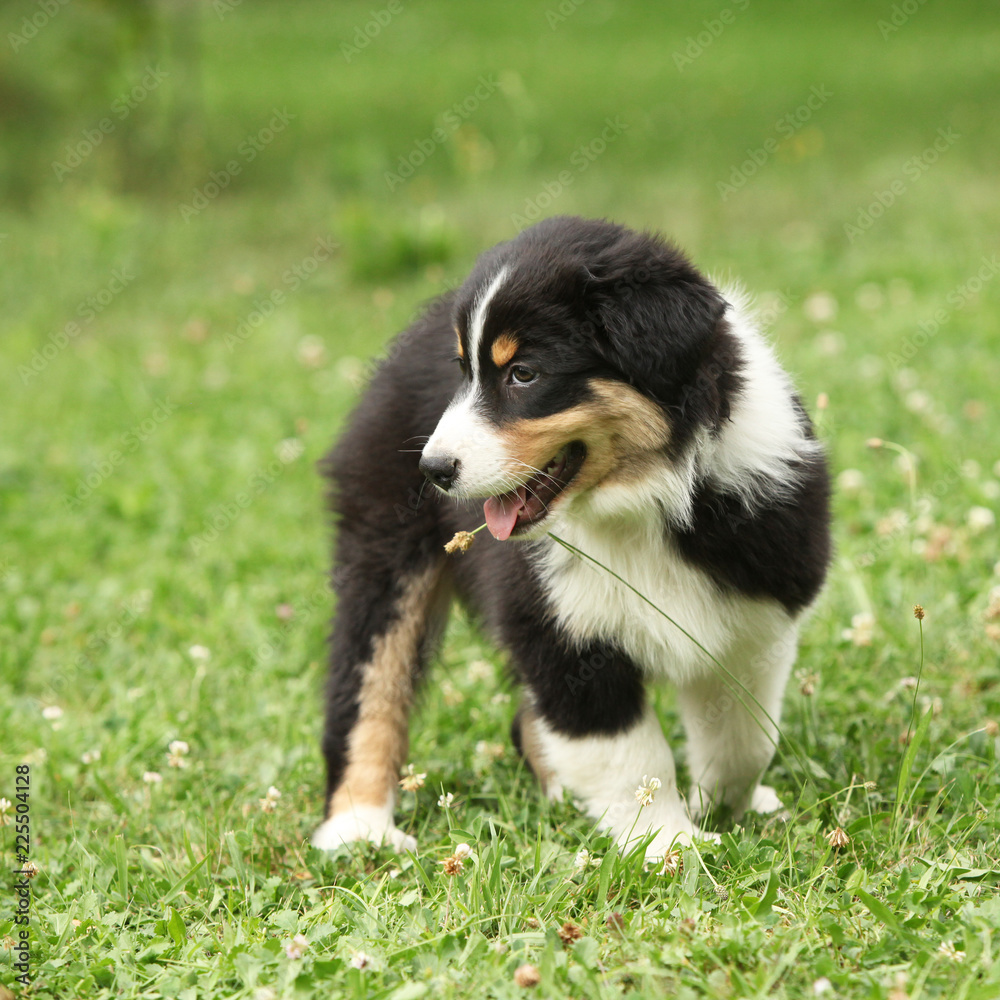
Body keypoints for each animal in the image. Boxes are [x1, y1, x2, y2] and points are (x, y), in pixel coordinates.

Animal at [312, 219, 828, 860]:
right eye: (464, 372)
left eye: (523, 373)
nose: (432, 470)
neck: (641, 498)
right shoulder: (556, 627)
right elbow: (628, 753)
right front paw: (666, 845)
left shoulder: (755, 611)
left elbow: (744, 739)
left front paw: (723, 810)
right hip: (384, 546)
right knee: (369, 677)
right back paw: (358, 825)